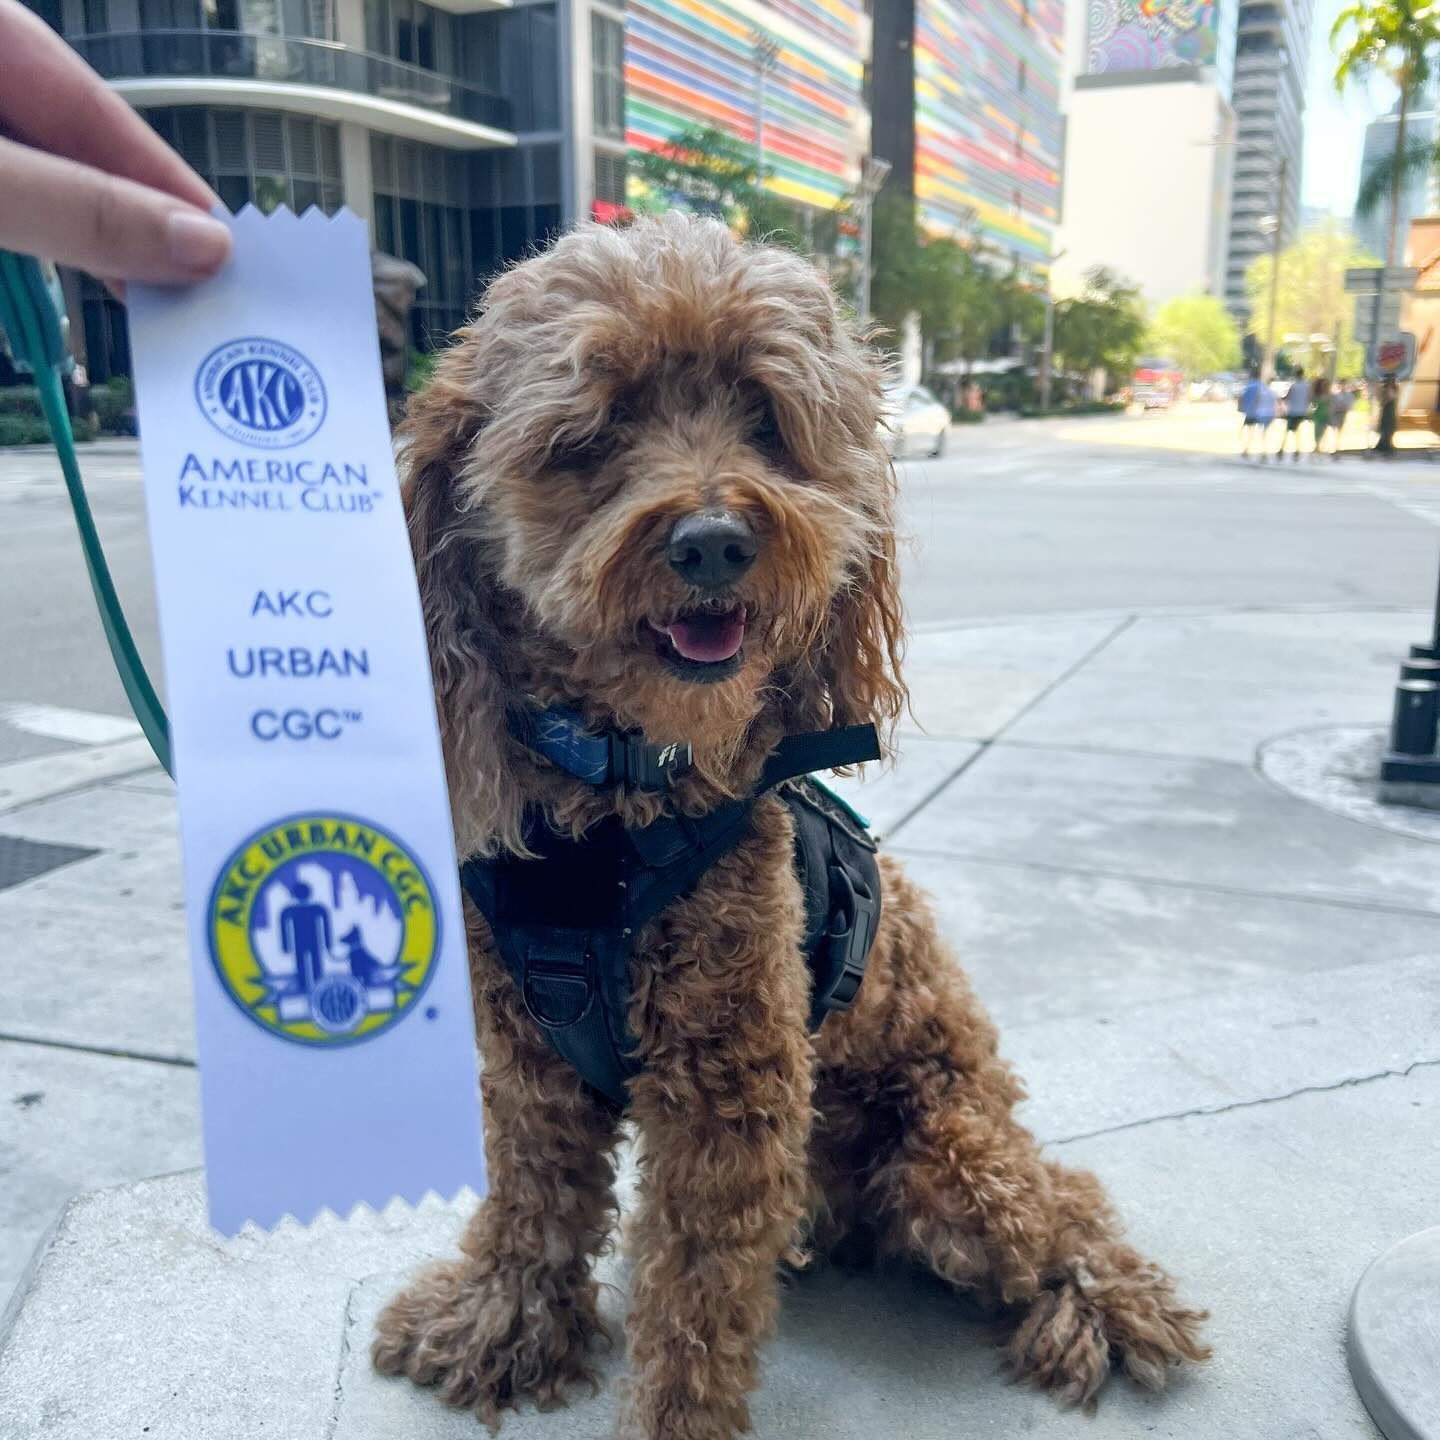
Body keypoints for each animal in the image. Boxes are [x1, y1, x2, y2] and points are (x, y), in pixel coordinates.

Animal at [371, 208, 1203, 1434]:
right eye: (595, 430)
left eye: (767, 419)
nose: (715, 539)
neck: (621, 796)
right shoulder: (527, 1059)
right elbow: (533, 1200)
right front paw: (503, 1324)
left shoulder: (731, 1089)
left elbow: (695, 1299)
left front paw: (670, 1420)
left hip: (951, 1162)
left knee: (1059, 1206)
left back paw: (1109, 1303)